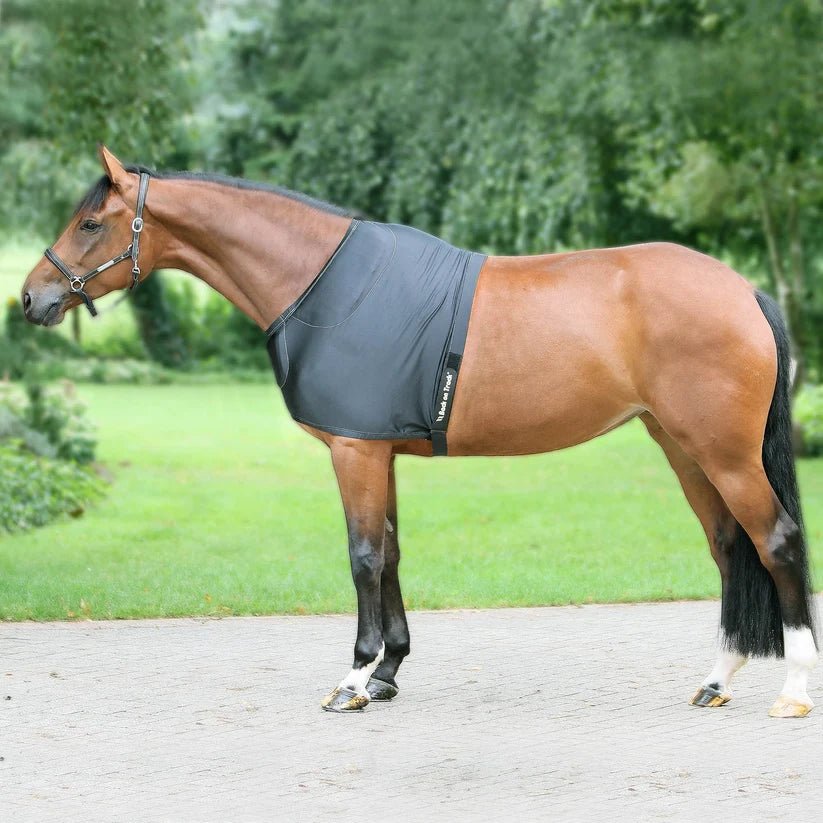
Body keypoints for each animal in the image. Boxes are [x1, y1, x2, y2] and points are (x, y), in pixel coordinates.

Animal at [21, 146, 817, 717]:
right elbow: (393, 552)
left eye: (90, 223)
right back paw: (717, 677)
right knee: (728, 546)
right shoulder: (382, 450)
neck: (319, 284)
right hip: (681, 446)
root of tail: (742, 288)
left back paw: (792, 689)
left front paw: (352, 677)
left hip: (722, 453)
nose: (32, 296)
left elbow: (364, 557)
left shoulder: (354, 451)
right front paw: (389, 671)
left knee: (773, 540)